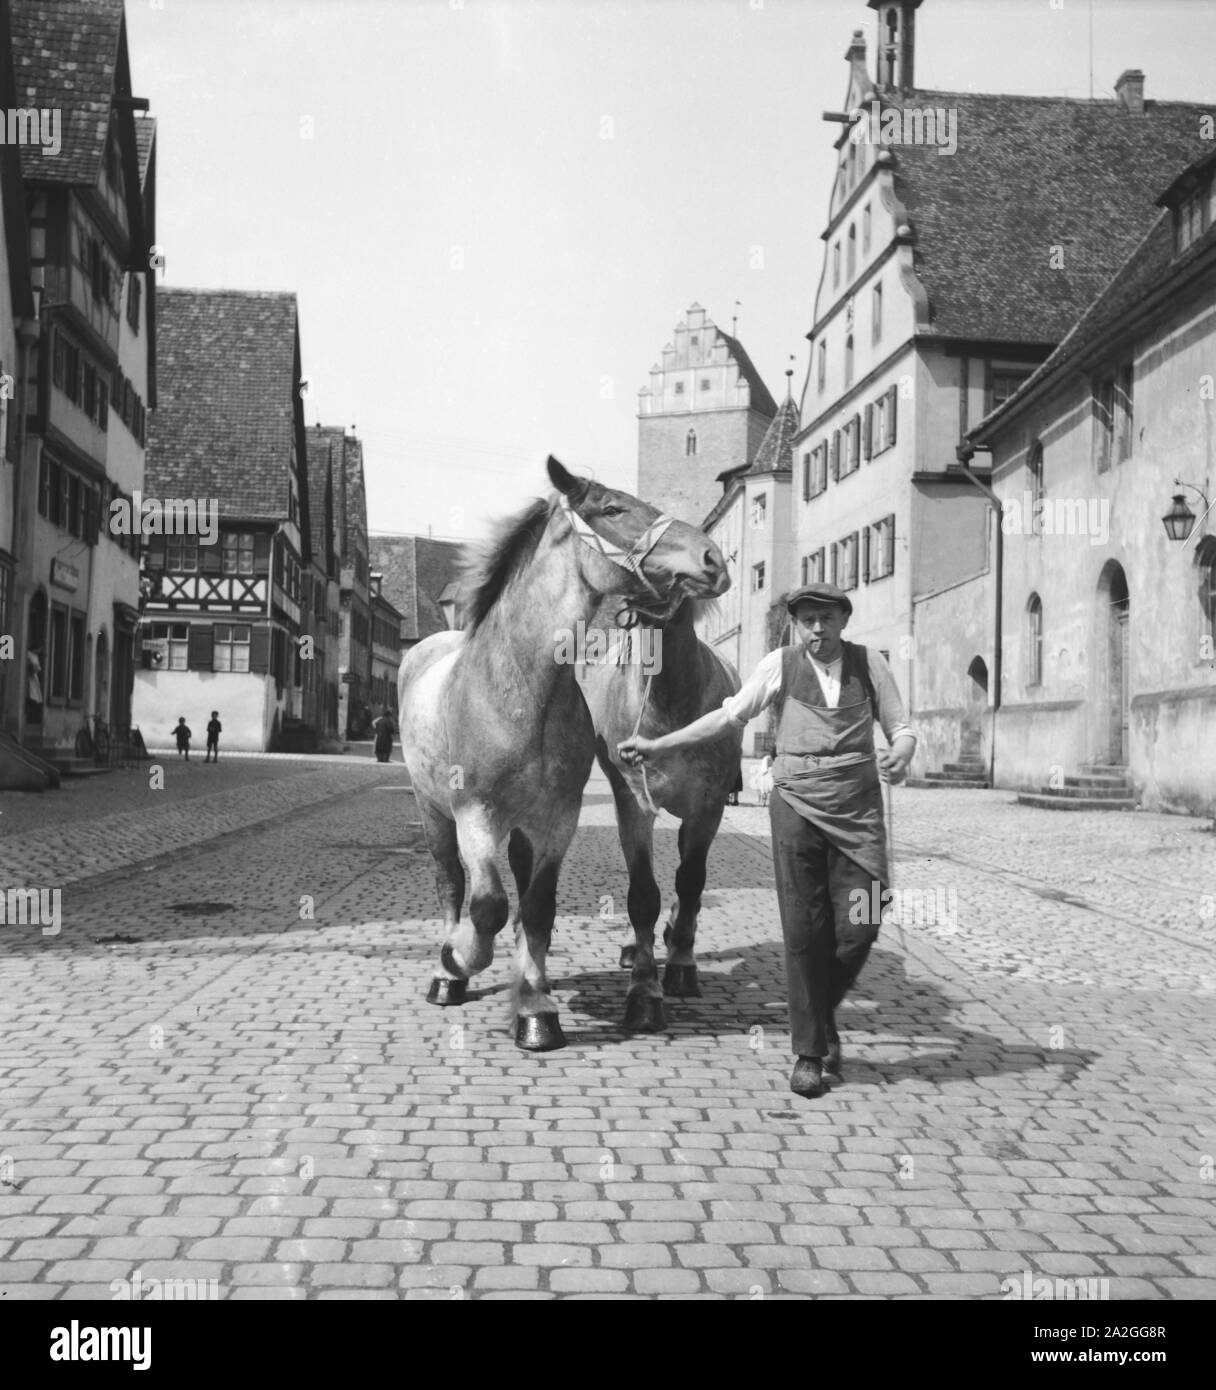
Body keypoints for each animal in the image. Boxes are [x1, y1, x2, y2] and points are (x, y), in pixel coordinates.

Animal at [580, 597, 739, 1034]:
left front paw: (682, 964)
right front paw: (644, 992)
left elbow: (691, 881)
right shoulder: (634, 806)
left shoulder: (708, 807)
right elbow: (642, 894)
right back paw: (636, 945)